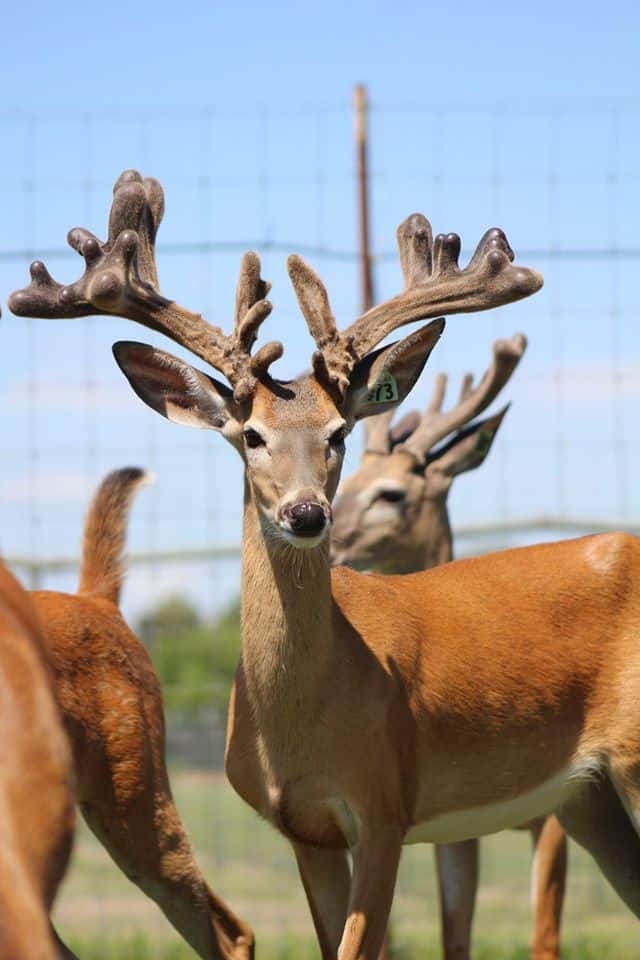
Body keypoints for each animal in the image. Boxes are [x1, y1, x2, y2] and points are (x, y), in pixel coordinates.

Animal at [331, 339, 568, 960]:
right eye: (346, 479)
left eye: (392, 494)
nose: (325, 534)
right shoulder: (452, 825)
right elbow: (453, 932)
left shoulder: (557, 810)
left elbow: (545, 936)